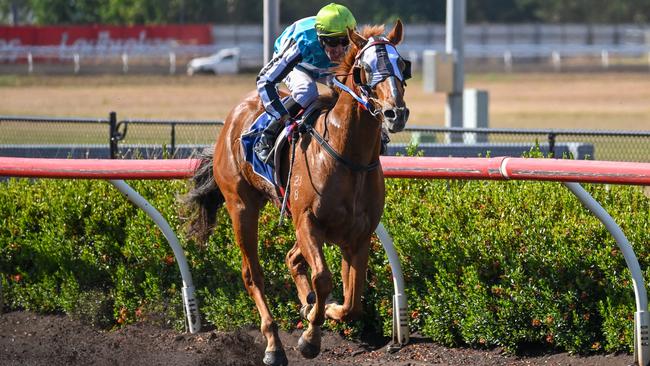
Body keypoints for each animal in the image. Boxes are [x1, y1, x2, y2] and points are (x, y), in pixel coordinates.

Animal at [181, 20, 404, 366]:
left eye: (403, 65)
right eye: (365, 69)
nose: (396, 113)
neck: (347, 154)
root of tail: (233, 116)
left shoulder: (358, 235)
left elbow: (352, 302)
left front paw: (319, 310)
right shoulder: (308, 221)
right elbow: (323, 278)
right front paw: (310, 339)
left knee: (291, 258)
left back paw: (307, 304)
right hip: (242, 206)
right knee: (253, 275)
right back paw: (273, 344)